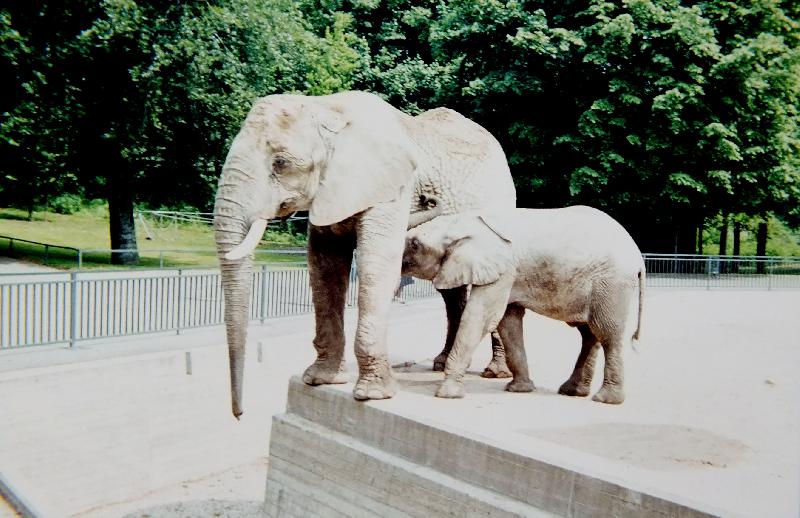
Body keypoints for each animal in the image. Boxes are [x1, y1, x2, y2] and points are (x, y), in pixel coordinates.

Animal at [213, 91, 515, 418]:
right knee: (450, 291)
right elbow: (324, 267)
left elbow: (376, 265)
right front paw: (320, 380)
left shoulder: (392, 190)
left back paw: (495, 373)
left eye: (280, 163)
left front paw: (372, 395)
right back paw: (442, 363)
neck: (327, 108)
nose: (240, 413)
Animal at [401, 205, 645, 403]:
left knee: (607, 333)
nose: (430, 200)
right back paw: (573, 392)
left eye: (414, 244)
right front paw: (519, 389)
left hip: (612, 284)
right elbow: (508, 323)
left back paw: (606, 399)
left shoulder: (504, 270)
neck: (468, 222)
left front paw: (447, 394)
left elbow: (480, 317)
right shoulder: (508, 275)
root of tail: (638, 256)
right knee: (588, 333)